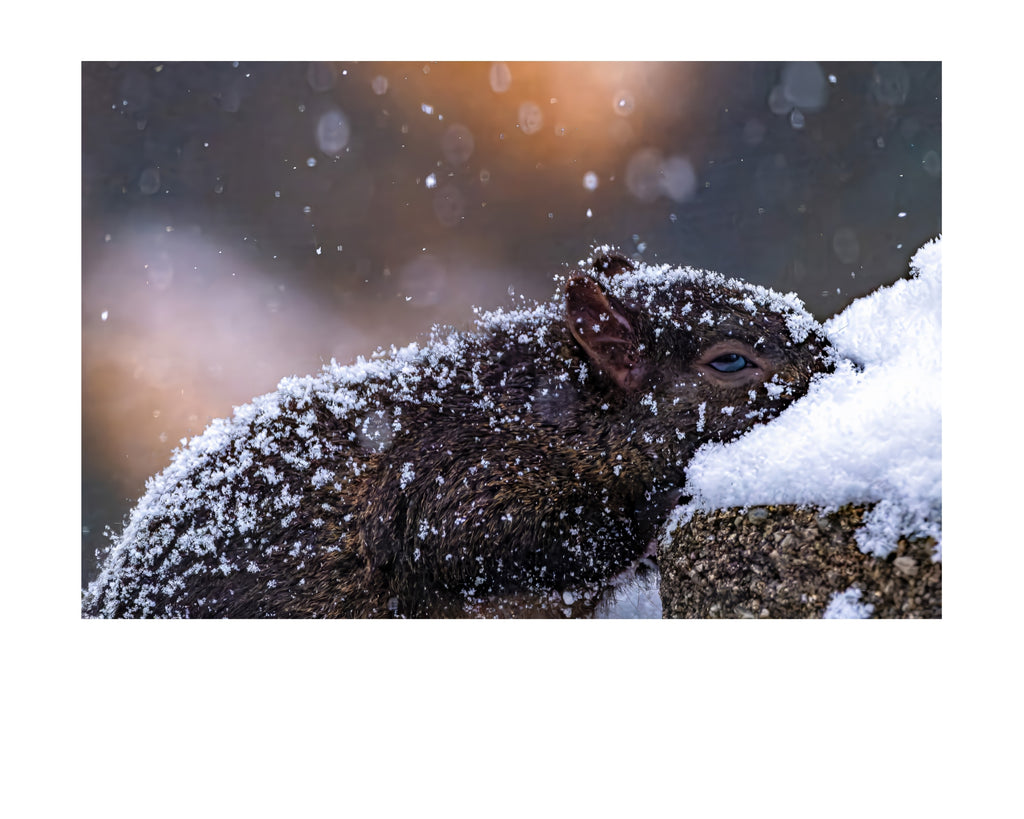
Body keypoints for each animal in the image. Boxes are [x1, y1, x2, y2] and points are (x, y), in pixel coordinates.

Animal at [82, 248, 836, 618]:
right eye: (731, 361)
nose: (842, 363)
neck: (560, 420)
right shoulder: (457, 481)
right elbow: (491, 544)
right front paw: (652, 523)